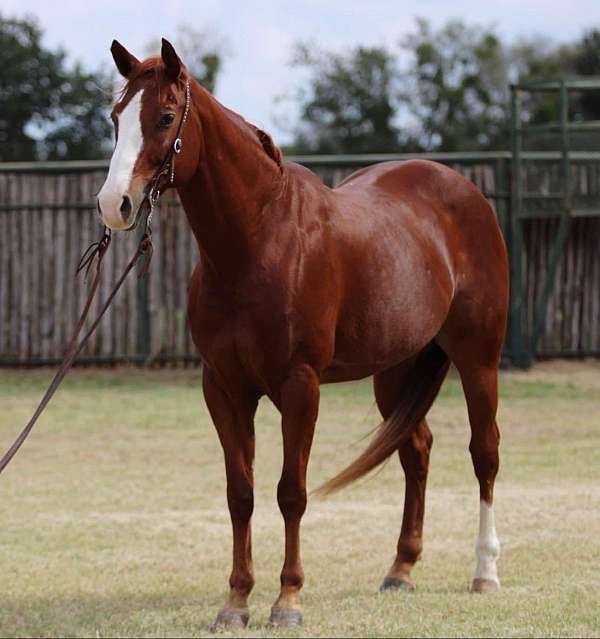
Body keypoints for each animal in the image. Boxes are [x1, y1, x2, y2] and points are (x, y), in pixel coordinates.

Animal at [97, 40, 506, 632]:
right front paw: (236, 602)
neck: (259, 242)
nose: (115, 205)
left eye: (166, 116)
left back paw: (485, 572)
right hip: (395, 370)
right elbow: (240, 493)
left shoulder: (299, 386)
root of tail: (469, 195)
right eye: (115, 118)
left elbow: (291, 492)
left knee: (484, 452)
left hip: (479, 359)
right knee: (417, 451)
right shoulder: (224, 388)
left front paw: (287, 600)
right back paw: (400, 570)